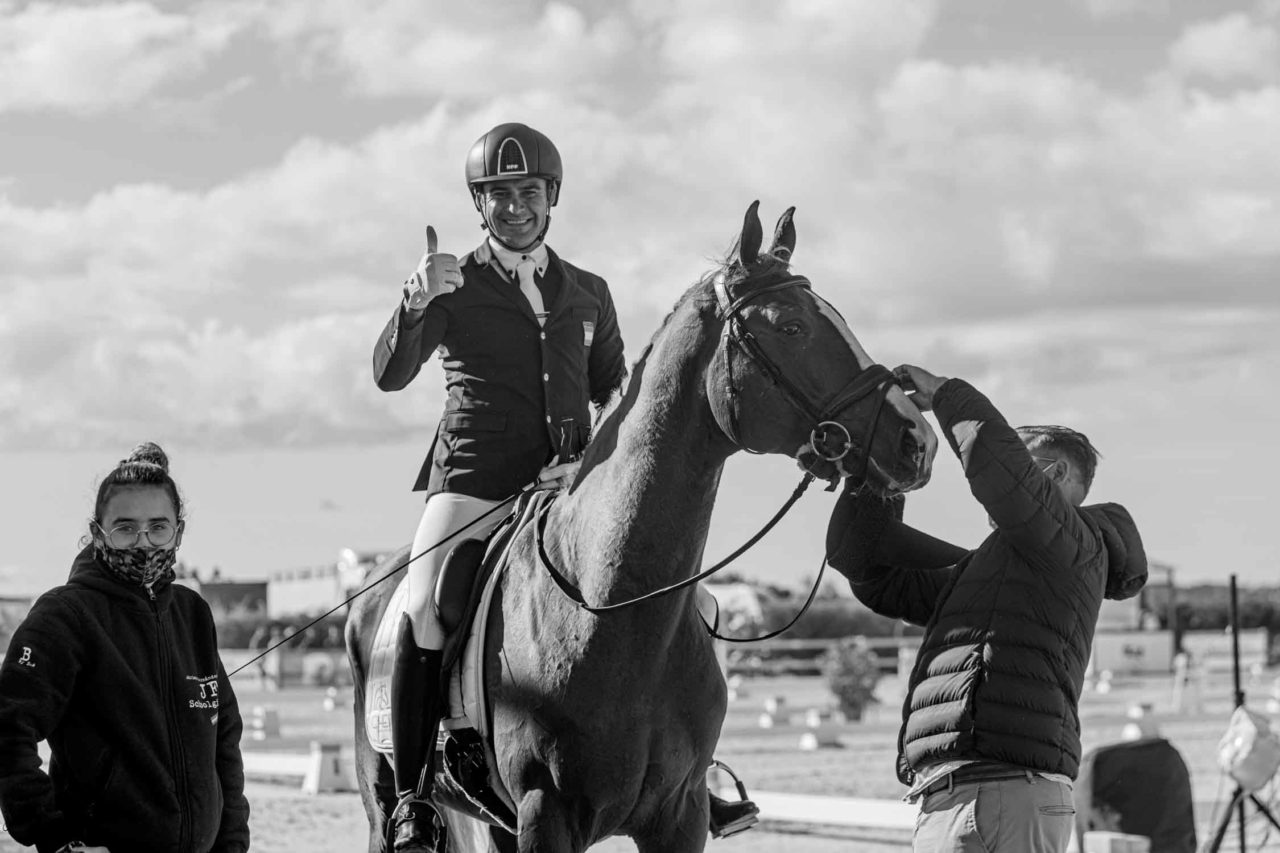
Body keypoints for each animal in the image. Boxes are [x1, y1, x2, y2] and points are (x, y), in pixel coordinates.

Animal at [350, 202, 942, 845]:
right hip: (387, 800)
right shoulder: (544, 811)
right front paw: (426, 286)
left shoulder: (680, 812)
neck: (609, 604)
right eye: (790, 328)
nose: (917, 441)